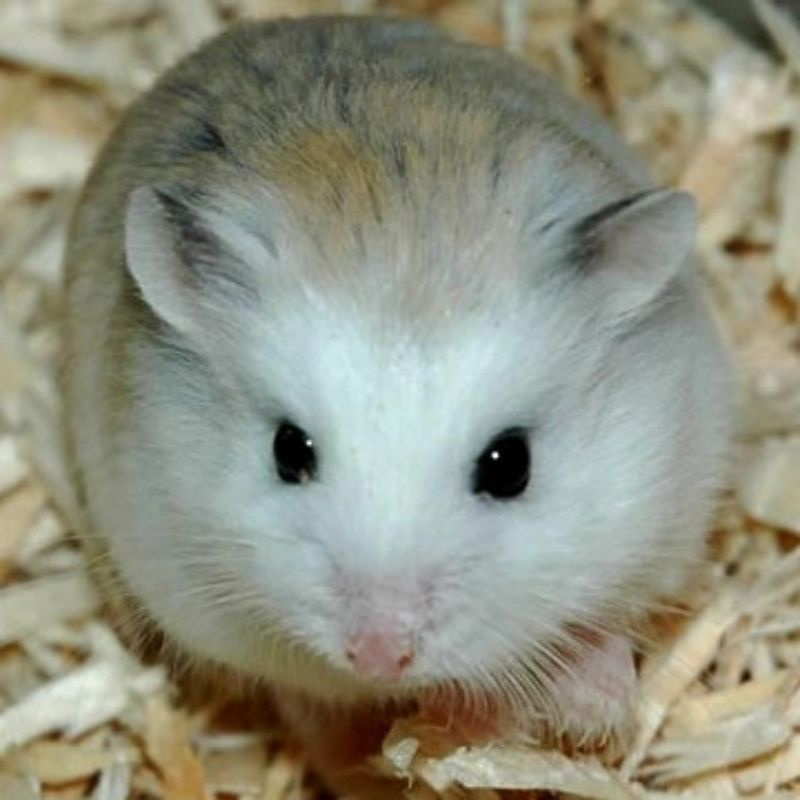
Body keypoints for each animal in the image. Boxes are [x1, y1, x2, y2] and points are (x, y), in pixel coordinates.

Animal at [62, 14, 732, 769]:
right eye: (288, 451)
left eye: (511, 465)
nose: (379, 657)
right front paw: (457, 727)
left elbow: (594, 621)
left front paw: (595, 715)